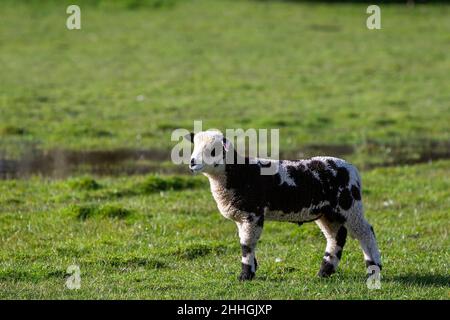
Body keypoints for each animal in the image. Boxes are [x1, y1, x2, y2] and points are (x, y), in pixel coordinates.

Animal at [185, 130, 382, 280]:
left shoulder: (253, 214)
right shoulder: (241, 217)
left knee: (365, 232)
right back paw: (324, 272)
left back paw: (374, 268)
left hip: (350, 205)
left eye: (213, 151)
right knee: (336, 237)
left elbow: (247, 244)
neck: (238, 172)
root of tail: (352, 169)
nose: (192, 162)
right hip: (327, 212)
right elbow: (244, 242)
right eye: (194, 147)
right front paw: (252, 269)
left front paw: (245, 275)